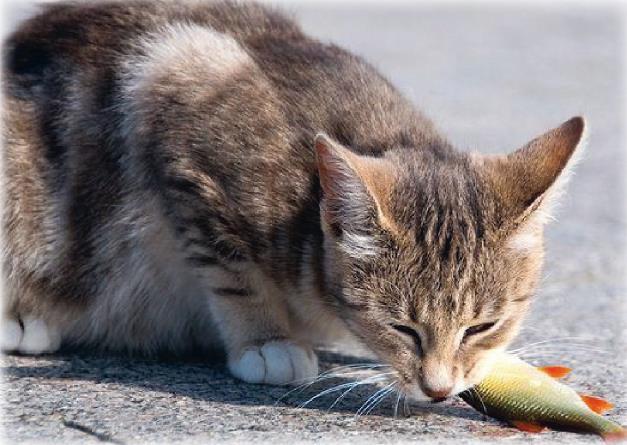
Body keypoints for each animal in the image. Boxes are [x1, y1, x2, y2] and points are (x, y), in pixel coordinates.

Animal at [2, 0, 588, 402]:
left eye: (481, 326)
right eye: (402, 328)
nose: (439, 390)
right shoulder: (177, 87)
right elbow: (232, 268)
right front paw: (267, 341)